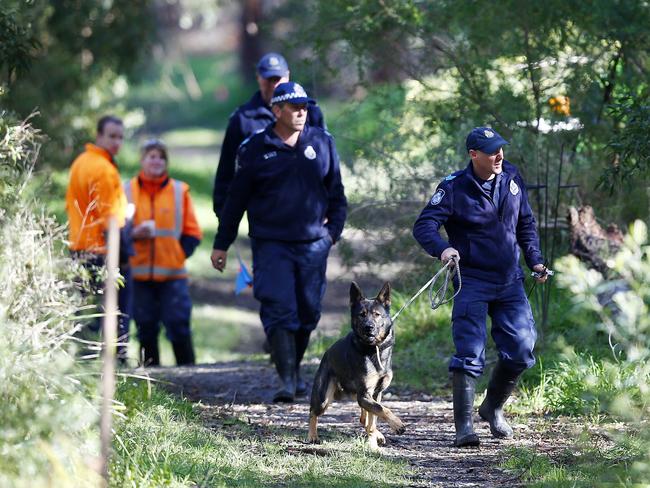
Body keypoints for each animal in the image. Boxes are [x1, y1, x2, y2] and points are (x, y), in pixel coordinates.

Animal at [306, 282, 402, 450]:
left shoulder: (375, 393)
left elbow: (375, 415)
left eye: (377, 314)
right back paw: (312, 436)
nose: (369, 327)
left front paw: (373, 439)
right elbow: (381, 409)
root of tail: (326, 353)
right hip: (323, 398)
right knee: (312, 412)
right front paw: (397, 424)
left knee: (365, 418)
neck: (374, 348)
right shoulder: (364, 395)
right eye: (361, 314)